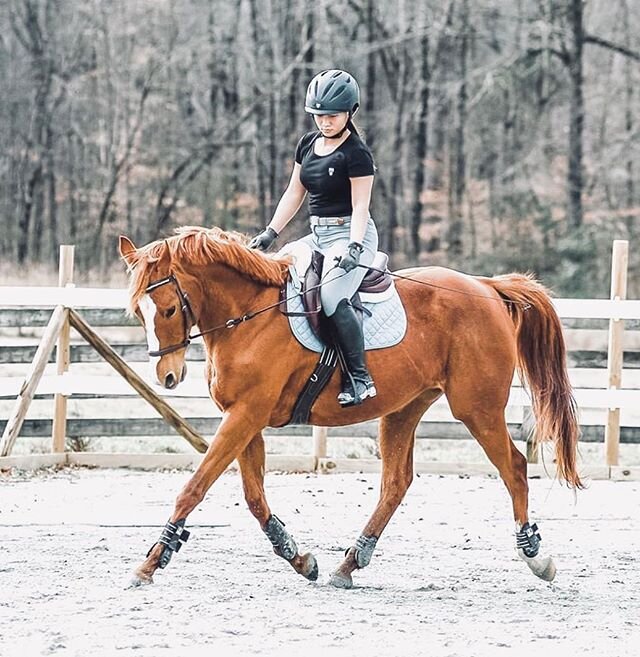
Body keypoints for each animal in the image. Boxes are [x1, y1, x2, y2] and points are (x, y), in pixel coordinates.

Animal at [117, 227, 584, 588]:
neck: (249, 315)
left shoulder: (245, 415)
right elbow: (253, 497)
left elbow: (194, 488)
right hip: (404, 408)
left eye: (169, 309)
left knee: (514, 468)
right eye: (138, 312)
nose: (167, 376)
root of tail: (487, 286)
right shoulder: (245, 417)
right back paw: (349, 564)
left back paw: (535, 556)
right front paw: (299, 557)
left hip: (477, 408)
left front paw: (150, 563)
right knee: (396, 483)